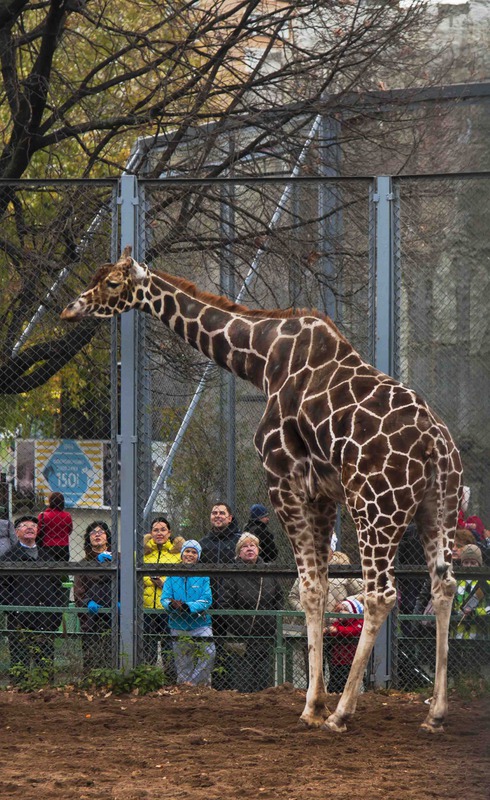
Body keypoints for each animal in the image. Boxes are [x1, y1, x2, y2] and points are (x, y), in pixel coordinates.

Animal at [62, 247, 464, 736]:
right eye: (97, 277)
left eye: (114, 284)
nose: (71, 308)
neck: (263, 359)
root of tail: (437, 447)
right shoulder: (322, 492)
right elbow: (318, 586)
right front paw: (315, 701)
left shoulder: (284, 480)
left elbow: (308, 589)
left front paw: (313, 707)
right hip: (437, 507)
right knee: (443, 585)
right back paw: (435, 712)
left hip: (377, 508)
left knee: (381, 594)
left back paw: (343, 713)